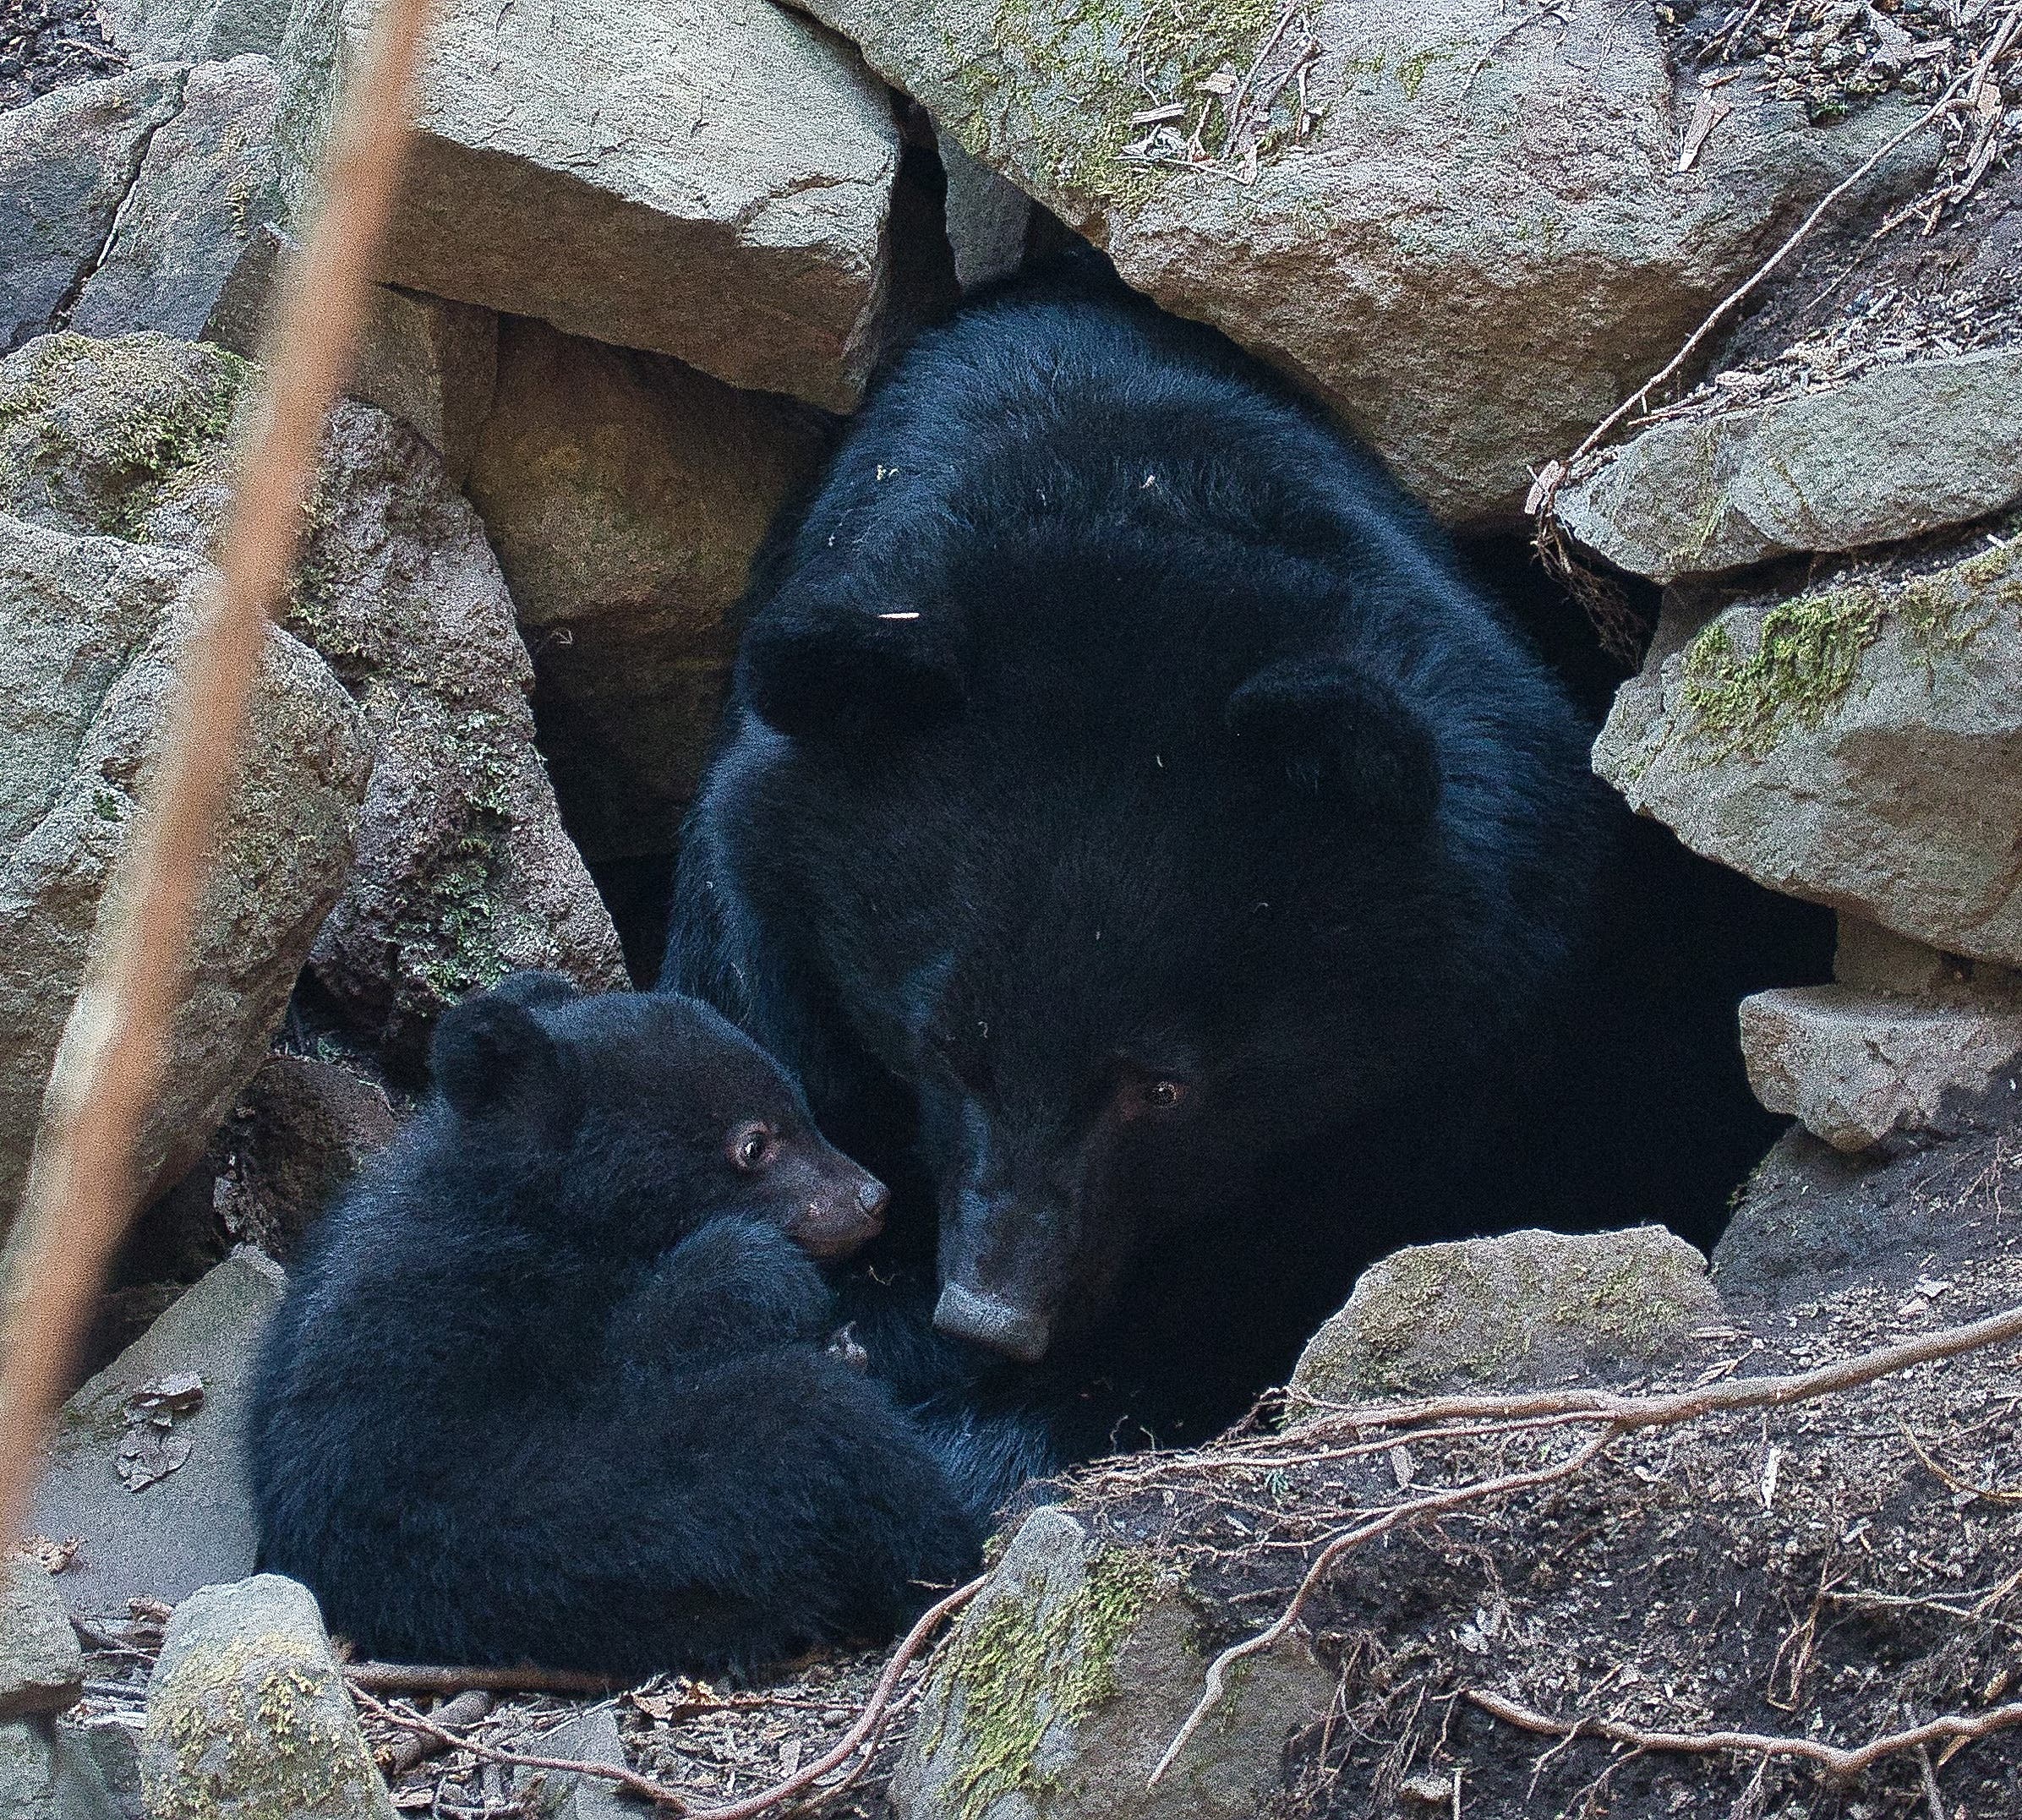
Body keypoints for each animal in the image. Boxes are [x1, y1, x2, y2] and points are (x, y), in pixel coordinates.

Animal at [248, 973, 1000, 1679]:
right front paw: (761, 1269)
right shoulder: (464, 1310)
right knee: (814, 1423)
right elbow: (621, 1359)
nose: (872, 1196)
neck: (550, 1215)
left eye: (802, 1108)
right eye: (754, 1144)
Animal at [663, 260, 1796, 1462]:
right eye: (946, 1048)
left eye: (1162, 1086)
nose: (993, 1312)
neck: (1111, 492)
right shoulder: (760, 922)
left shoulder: (1478, 1019)